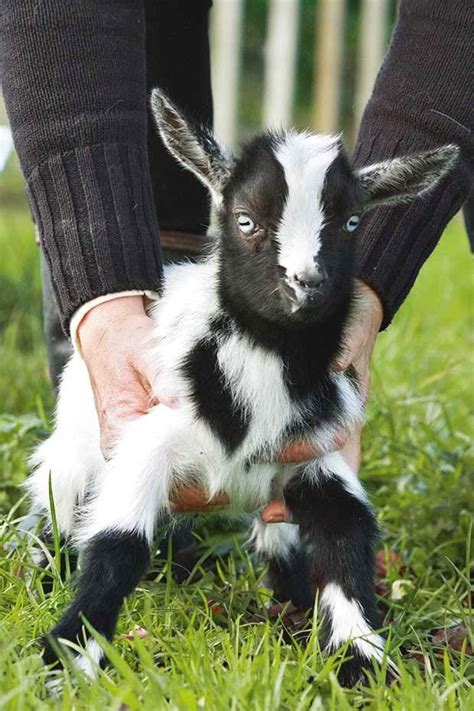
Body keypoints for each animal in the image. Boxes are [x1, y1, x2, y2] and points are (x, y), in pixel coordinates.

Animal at [27, 89, 458, 684]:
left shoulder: (313, 455)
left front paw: (361, 655)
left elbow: (347, 536)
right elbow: (119, 541)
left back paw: (290, 595)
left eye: (352, 221)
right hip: (72, 449)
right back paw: (44, 573)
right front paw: (71, 656)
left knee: (278, 537)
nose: (306, 285)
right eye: (246, 220)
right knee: (60, 505)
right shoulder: (150, 437)